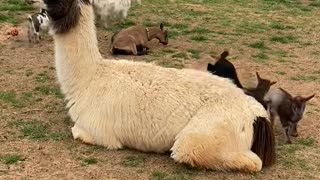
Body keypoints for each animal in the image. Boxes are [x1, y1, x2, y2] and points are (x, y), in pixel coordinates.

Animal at [43, 0, 276, 172]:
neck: (90, 78)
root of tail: (256, 113)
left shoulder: (100, 131)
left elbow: (76, 132)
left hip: (209, 132)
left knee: (250, 161)